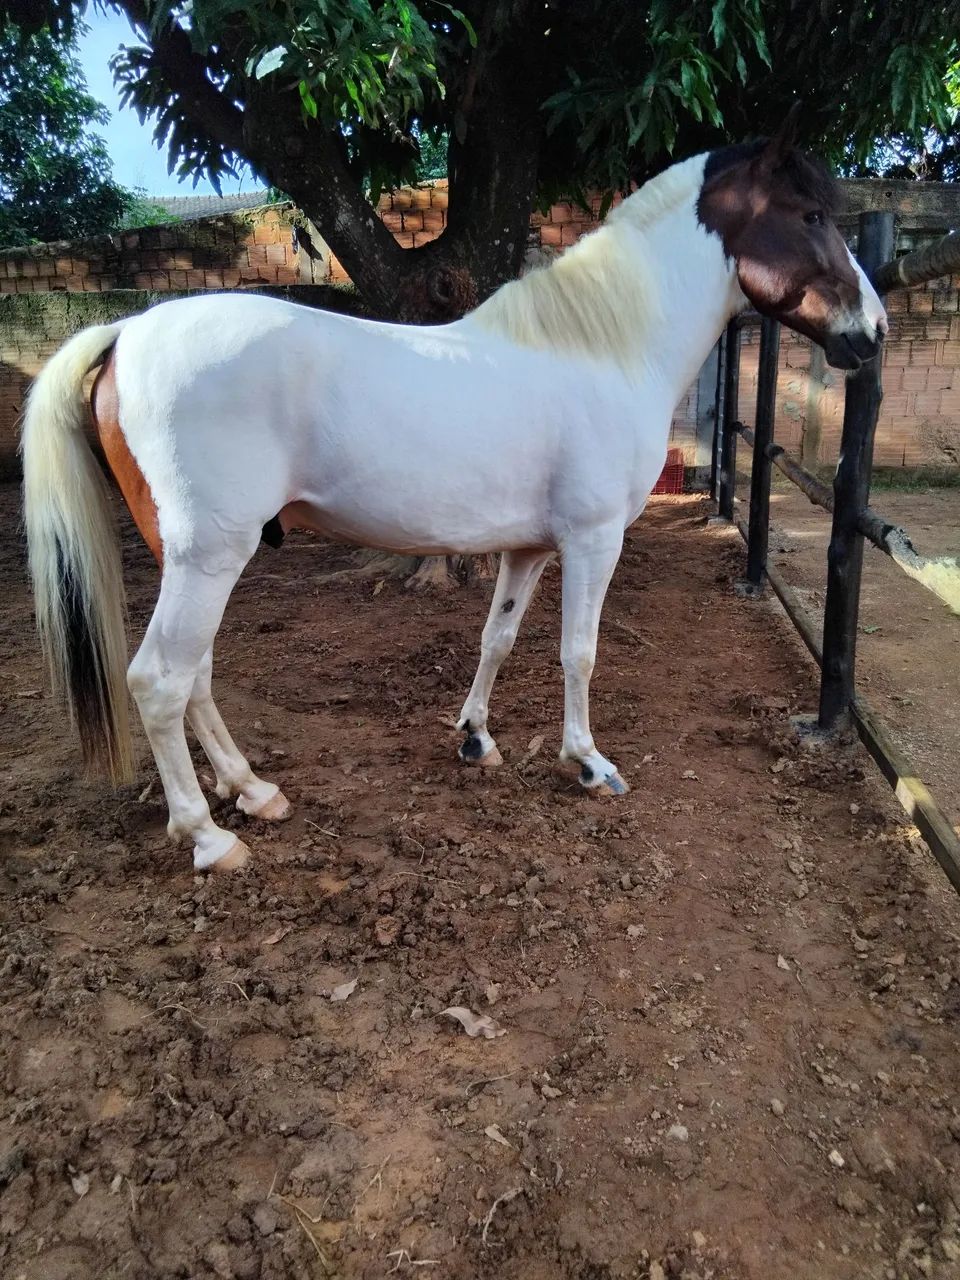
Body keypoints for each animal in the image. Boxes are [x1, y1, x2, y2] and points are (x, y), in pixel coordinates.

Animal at [21, 115, 887, 873]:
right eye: (811, 214)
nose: (873, 332)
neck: (602, 350)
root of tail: (124, 333)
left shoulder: (530, 548)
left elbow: (495, 638)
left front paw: (475, 738)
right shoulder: (593, 539)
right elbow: (579, 651)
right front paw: (588, 763)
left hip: (192, 558)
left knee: (195, 676)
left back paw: (253, 791)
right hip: (210, 556)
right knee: (159, 681)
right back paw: (208, 835)